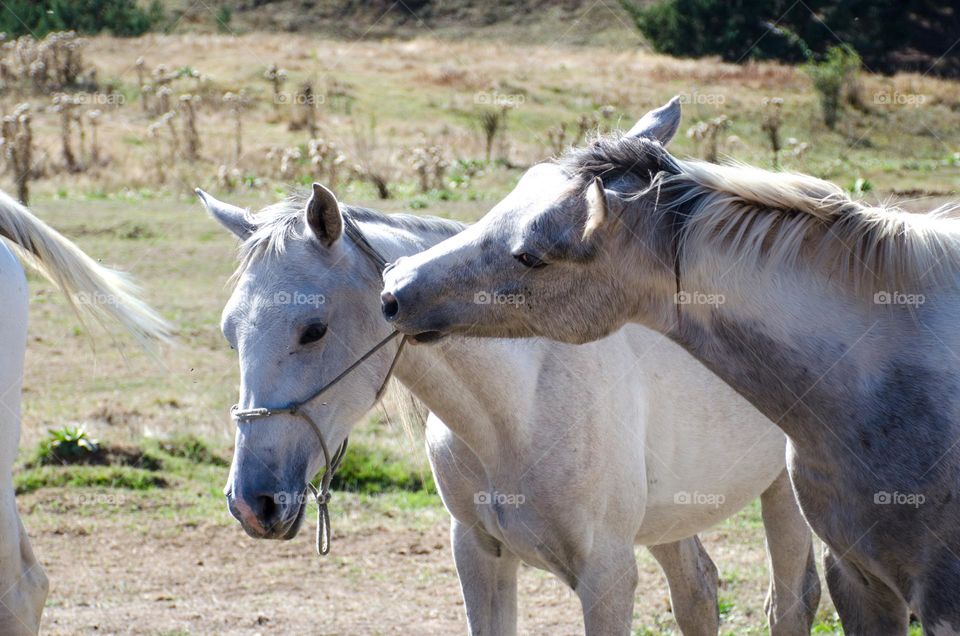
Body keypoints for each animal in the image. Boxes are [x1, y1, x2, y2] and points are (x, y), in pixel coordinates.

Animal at [199, 185, 820, 636]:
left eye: (314, 329)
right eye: (230, 334)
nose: (253, 502)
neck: (518, 410)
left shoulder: (607, 576)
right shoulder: (480, 557)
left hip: (785, 493)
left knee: (792, 603)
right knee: (698, 591)